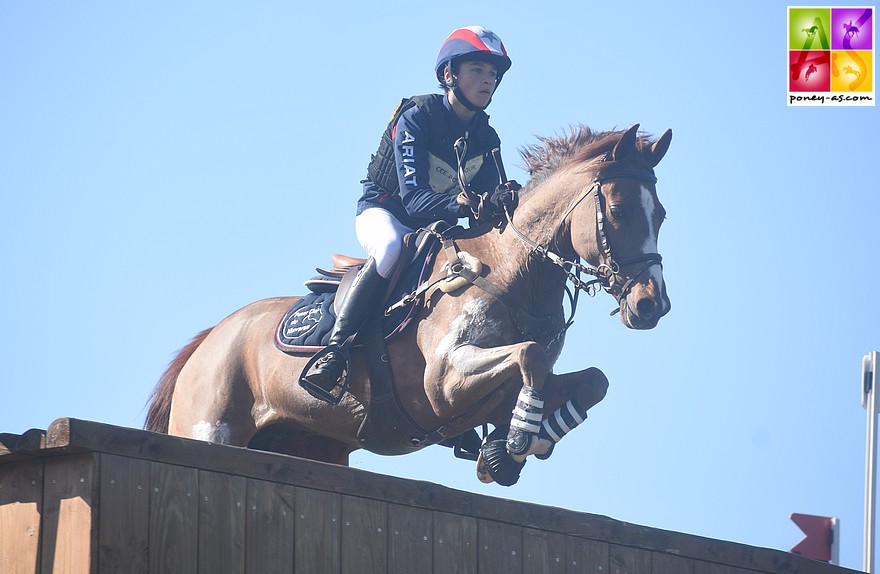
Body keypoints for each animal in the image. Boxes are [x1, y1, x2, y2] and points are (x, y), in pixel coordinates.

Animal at [144, 124, 672, 488]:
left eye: (662, 215)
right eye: (620, 210)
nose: (652, 305)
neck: (511, 272)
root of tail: (207, 341)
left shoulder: (498, 390)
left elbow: (590, 381)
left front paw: (515, 445)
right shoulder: (442, 384)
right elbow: (530, 355)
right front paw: (520, 439)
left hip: (309, 446)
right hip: (208, 429)